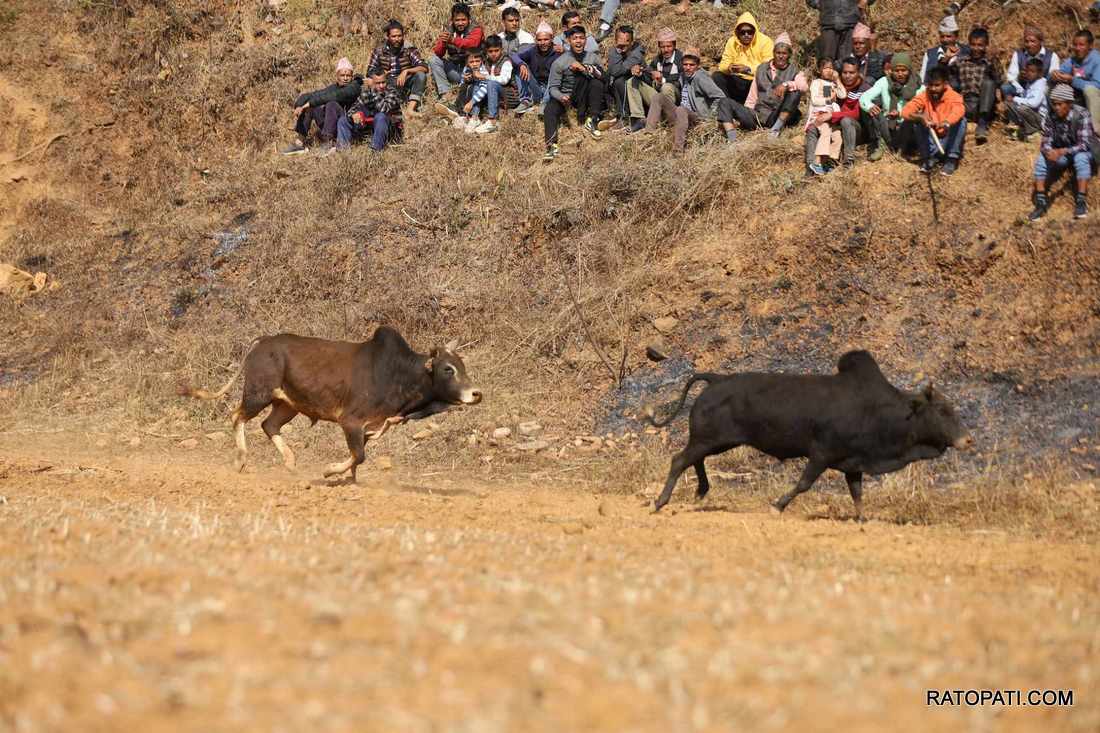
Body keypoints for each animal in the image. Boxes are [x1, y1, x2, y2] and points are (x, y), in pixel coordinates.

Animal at [646, 349, 976, 510]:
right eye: (943, 410)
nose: (968, 440)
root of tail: (715, 378)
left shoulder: (852, 465)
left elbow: (858, 497)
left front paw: (862, 521)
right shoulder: (821, 454)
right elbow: (804, 484)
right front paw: (777, 506)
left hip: (712, 440)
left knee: (694, 460)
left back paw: (700, 491)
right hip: (709, 439)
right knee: (679, 460)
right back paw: (661, 502)